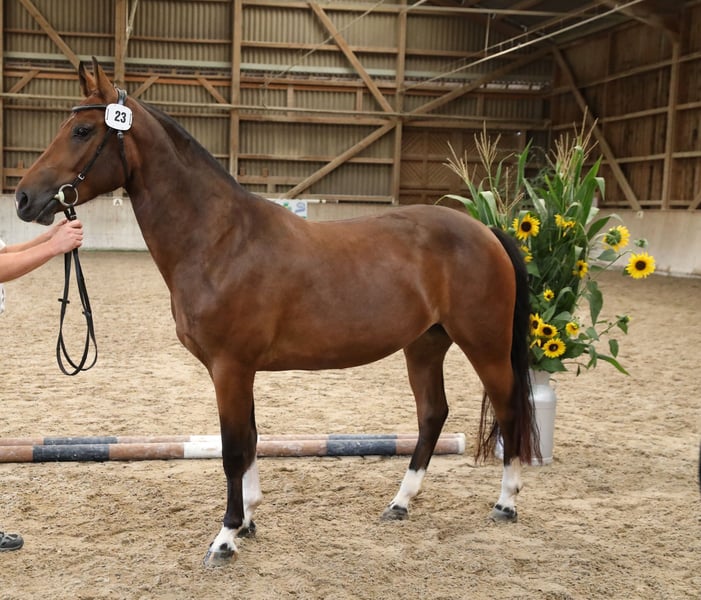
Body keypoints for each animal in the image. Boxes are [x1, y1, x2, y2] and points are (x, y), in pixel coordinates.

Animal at [15, 58, 540, 566]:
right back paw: (400, 503)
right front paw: (248, 520)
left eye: (82, 131)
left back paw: (506, 503)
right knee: (433, 413)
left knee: (510, 408)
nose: (22, 198)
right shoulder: (238, 369)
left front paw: (226, 538)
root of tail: (486, 231)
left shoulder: (230, 367)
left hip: (485, 345)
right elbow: (249, 439)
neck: (221, 239)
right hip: (425, 344)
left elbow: (232, 449)